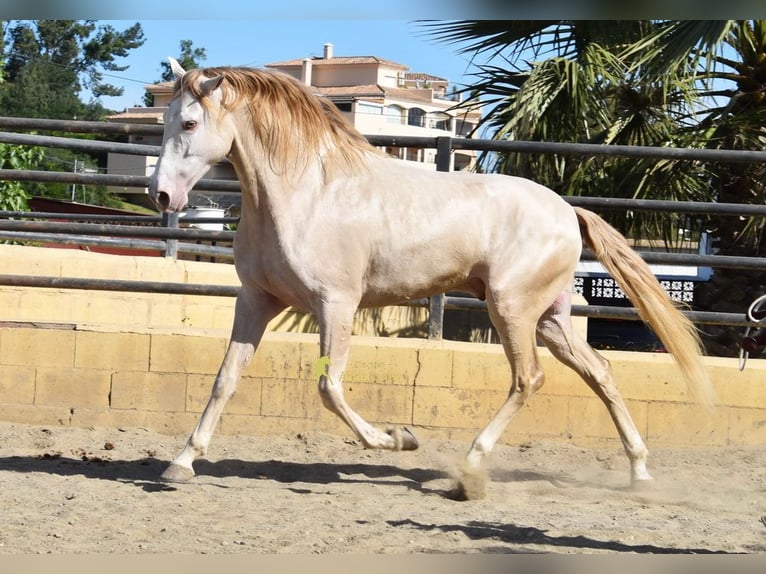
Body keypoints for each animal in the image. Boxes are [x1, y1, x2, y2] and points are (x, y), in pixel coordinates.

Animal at [148, 58, 716, 500]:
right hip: (550, 320)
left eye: (191, 124)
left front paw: (399, 438)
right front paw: (181, 463)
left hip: (511, 310)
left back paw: (471, 468)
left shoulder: (337, 304)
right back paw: (639, 472)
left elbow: (330, 388)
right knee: (600, 372)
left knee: (528, 378)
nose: (161, 196)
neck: (307, 192)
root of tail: (568, 212)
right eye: (166, 119)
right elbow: (224, 380)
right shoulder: (256, 300)